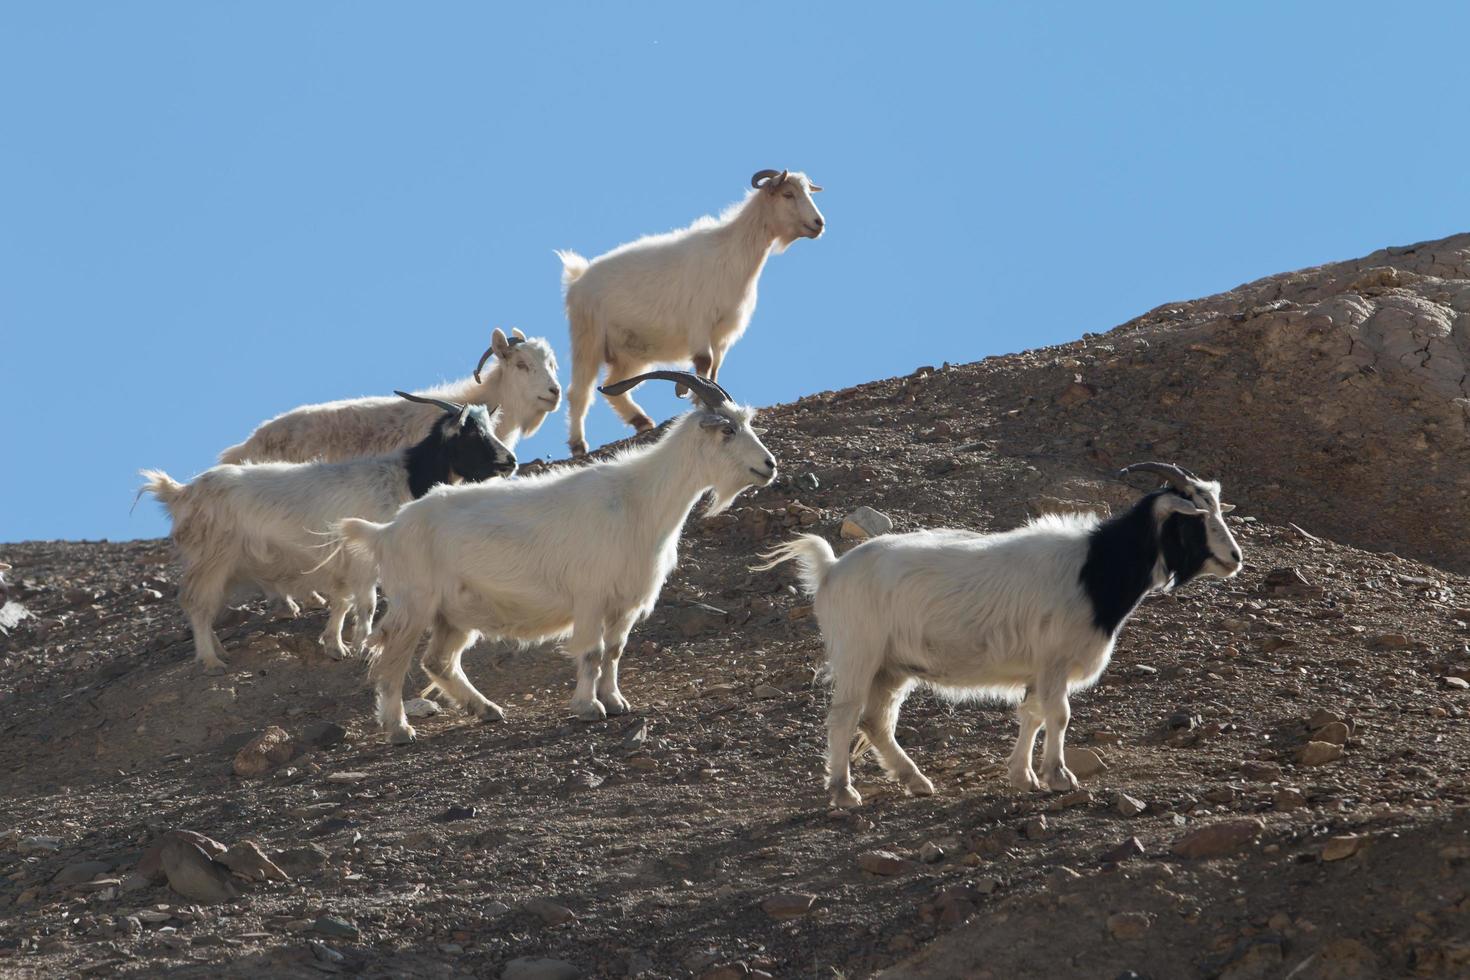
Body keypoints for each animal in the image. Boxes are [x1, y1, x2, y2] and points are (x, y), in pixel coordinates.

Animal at [138, 393, 517, 669]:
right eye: (473, 434)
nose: (510, 462)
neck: (405, 478)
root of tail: (181, 492)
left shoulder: (345, 560)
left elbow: (343, 601)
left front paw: (336, 644)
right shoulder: (363, 558)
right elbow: (366, 603)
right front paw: (361, 644)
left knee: (204, 604)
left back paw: (217, 649)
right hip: (212, 557)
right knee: (196, 604)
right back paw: (211, 660)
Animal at [329, 371, 776, 746]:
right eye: (728, 429)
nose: (769, 465)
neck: (639, 500)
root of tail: (387, 530)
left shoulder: (626, 603)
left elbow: (614, 651)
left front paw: (616, 702)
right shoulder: (591, 596)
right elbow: (592, 652)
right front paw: (588, 707)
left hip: (453, 614)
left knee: (438, 661)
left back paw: (486, 709)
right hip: (415, 603)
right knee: (392, 662)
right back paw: (399, 729)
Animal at [552, 168, 823, 455]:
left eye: (808, 192)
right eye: (788, 194)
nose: (818, 223)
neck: (733, 252)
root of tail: (577, 279)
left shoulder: (722, 333)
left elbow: (714, 370)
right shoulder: (700, 322)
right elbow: (704, 362)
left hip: (631, 354)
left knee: (615, 386)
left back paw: (641, 421)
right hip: (587, 341)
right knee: (579, 392)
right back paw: (578, 444)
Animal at [752, 464, 1246, 811]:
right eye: (1196, 516)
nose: (1234, 558)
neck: (1094, 568)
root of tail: (832, 569)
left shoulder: (1038, 668)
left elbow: (1032, 715)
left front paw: (1023, 777)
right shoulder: (1053, 659)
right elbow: (1058, 715)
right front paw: (1059, 777)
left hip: (891, 667)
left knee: (876, 721)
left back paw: (916, 781)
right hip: (859, 653)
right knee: (844, 717)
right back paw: (843, 792)